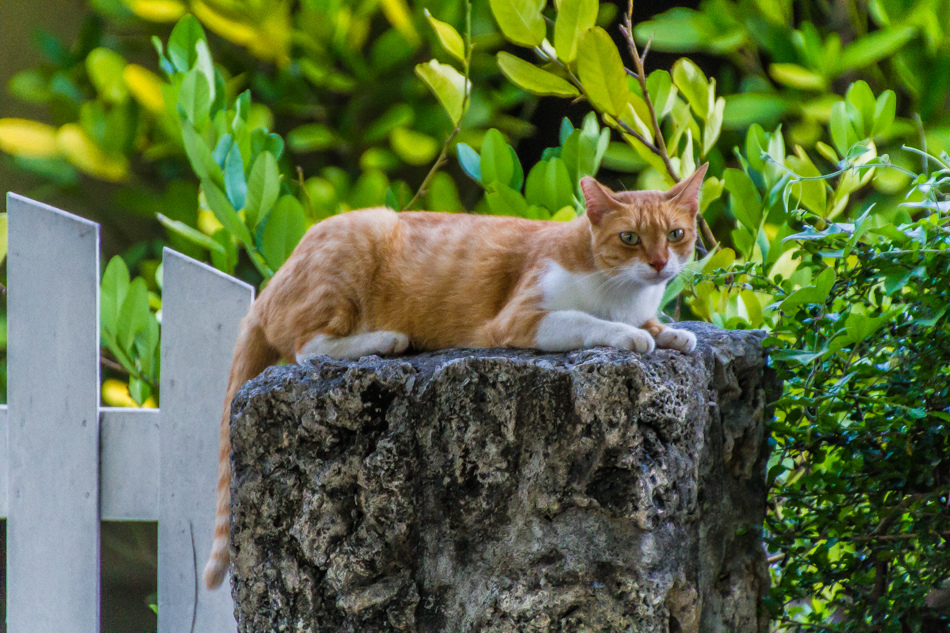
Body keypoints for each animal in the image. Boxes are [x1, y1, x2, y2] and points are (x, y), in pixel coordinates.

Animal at [203, 162, 708, 588]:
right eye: (630, 239)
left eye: (676, 234)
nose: (659, 263)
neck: (622, 293)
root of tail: (269, 291)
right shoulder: (521, 321)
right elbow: (590, 322)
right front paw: (630, 335)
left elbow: (655, 323)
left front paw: (672, 333)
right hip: (355, 248)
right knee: (308, 347)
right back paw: (387, 339)